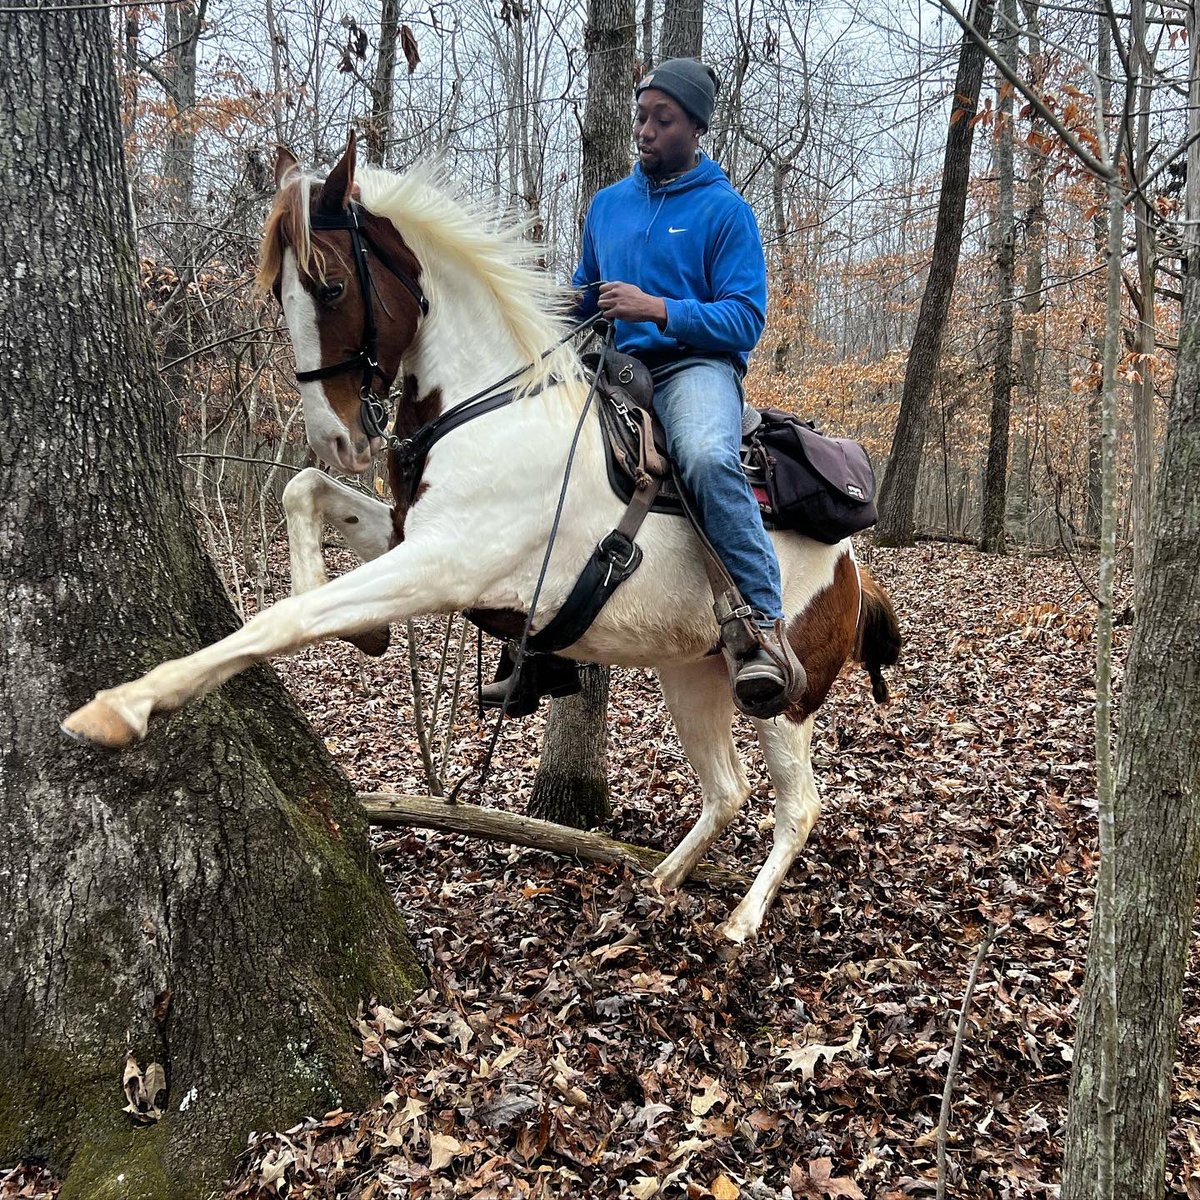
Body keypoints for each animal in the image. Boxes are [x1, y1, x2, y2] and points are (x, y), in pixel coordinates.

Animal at [63, 134, 901, 943]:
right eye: (277, 291)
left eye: (330, 286)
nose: (335, 438)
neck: (494, 407)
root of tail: (855, 573)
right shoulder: (412, 536)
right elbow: (303, 499)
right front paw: (361, 629)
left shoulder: (445, 564)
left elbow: (286, 619)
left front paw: (123, 706)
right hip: (689, 675)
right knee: (725, 790)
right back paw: (659, 882)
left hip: (783, 702)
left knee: (798, 806)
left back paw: (741, 921)